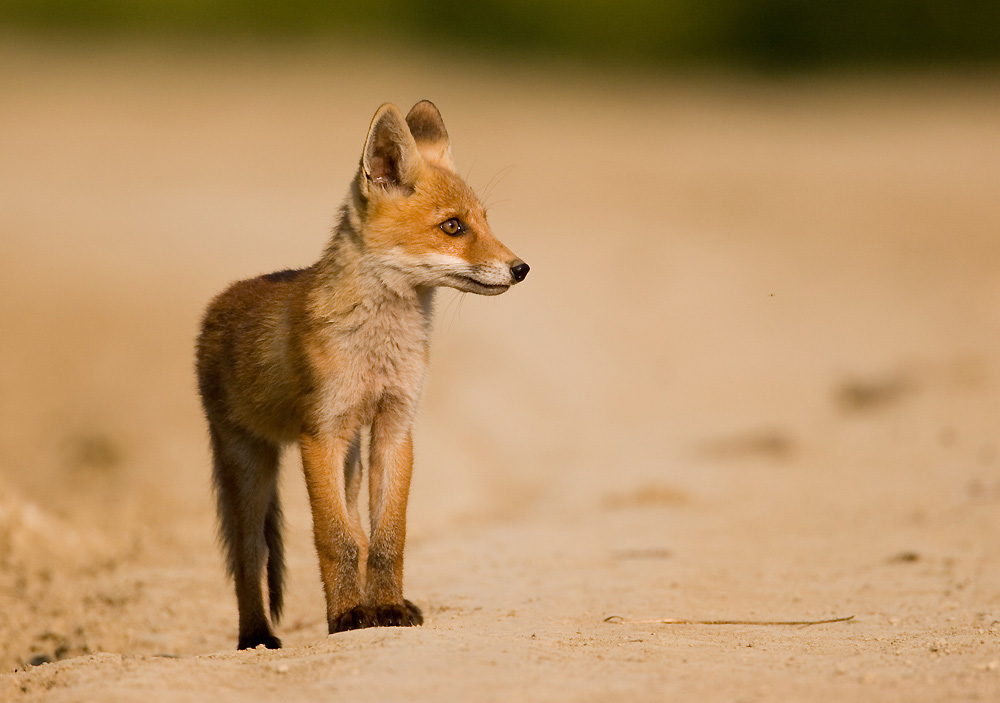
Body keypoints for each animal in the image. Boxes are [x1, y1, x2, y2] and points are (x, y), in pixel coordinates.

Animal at [190, 100, 528, 656]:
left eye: (485, 220)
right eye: (453, 227)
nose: (521, 268)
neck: (378, 348)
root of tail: (221, 301)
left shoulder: (395, 426)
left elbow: (386, 537)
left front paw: (385, 609)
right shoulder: (321, 433)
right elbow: (337, 540)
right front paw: (347, 616)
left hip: (349, 459)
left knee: (358, 531)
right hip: (250, 464)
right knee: (247, 557)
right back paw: (256, 637)